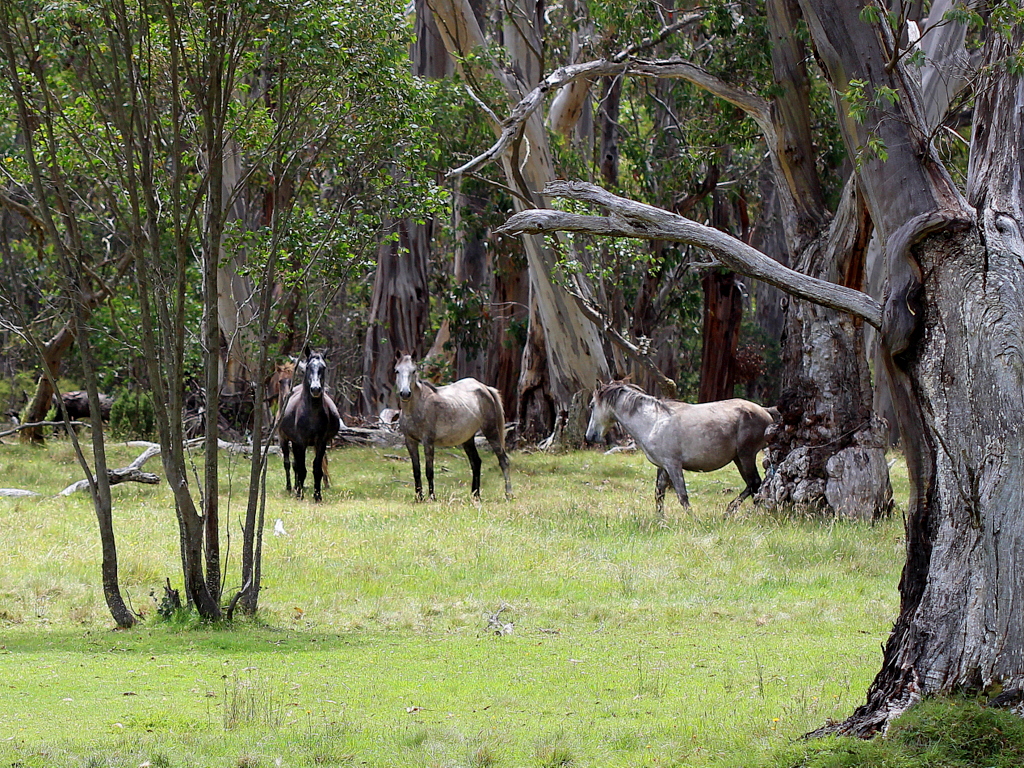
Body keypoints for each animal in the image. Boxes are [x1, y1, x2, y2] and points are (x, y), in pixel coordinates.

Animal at [278, 350, 342, 505]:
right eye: (308, 367)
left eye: (323, 367)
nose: (315, 389)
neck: (311, 413)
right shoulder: (300, 442)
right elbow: (301, 469)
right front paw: (299, 495)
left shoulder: (321, 442)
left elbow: (317, 469)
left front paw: (317, 496)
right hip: (289, 441)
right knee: (293, 464)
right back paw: (294, 488)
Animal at [395, 356, 516, 501]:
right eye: (397, 371)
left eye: (413, 371)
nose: (405, 393)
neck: (416, 408)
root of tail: (485, 388)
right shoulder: (410, 441)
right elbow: (416, 471)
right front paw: (419, 498)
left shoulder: (428, 441)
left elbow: (429, 471)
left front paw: (432, 497)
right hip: (468, 438)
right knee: (476, 462)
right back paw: (475, 495)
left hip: (491, 430)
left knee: (503, 460)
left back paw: (508, 494)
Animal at [585, 380, 774, 518]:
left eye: (592, 405)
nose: (590, 436)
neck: (653, 422)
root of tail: (765, 411)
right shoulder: (663, 467)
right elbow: (659, 494)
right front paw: (660, 520)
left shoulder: (673, 465)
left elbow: (682, 496)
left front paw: (694, 520)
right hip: (738, 458)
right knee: (753, 486)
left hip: (746, 455)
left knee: (755, 483)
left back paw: (736, 512)